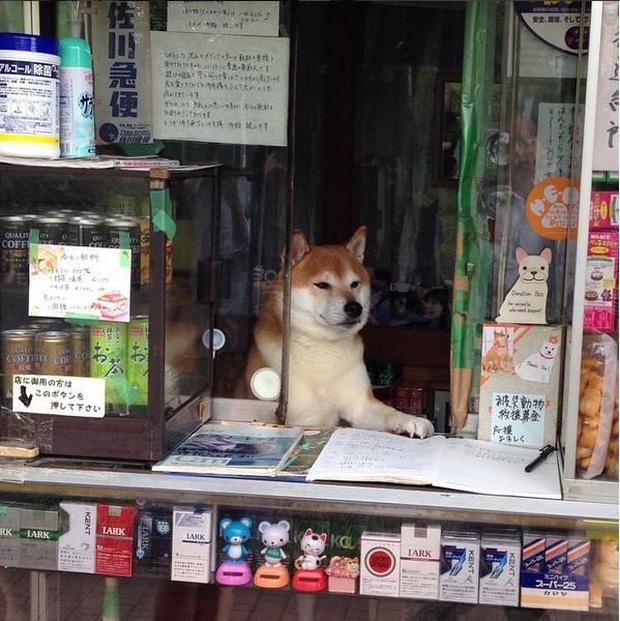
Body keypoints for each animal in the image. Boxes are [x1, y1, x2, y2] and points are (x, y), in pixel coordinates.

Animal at [241, 226, 432, 436]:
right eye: (322, 285)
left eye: (355, 284)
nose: (355, 308)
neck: (323, 346)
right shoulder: (295, 416)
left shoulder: (360, 405)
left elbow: (389, 412)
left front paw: (411, 420)